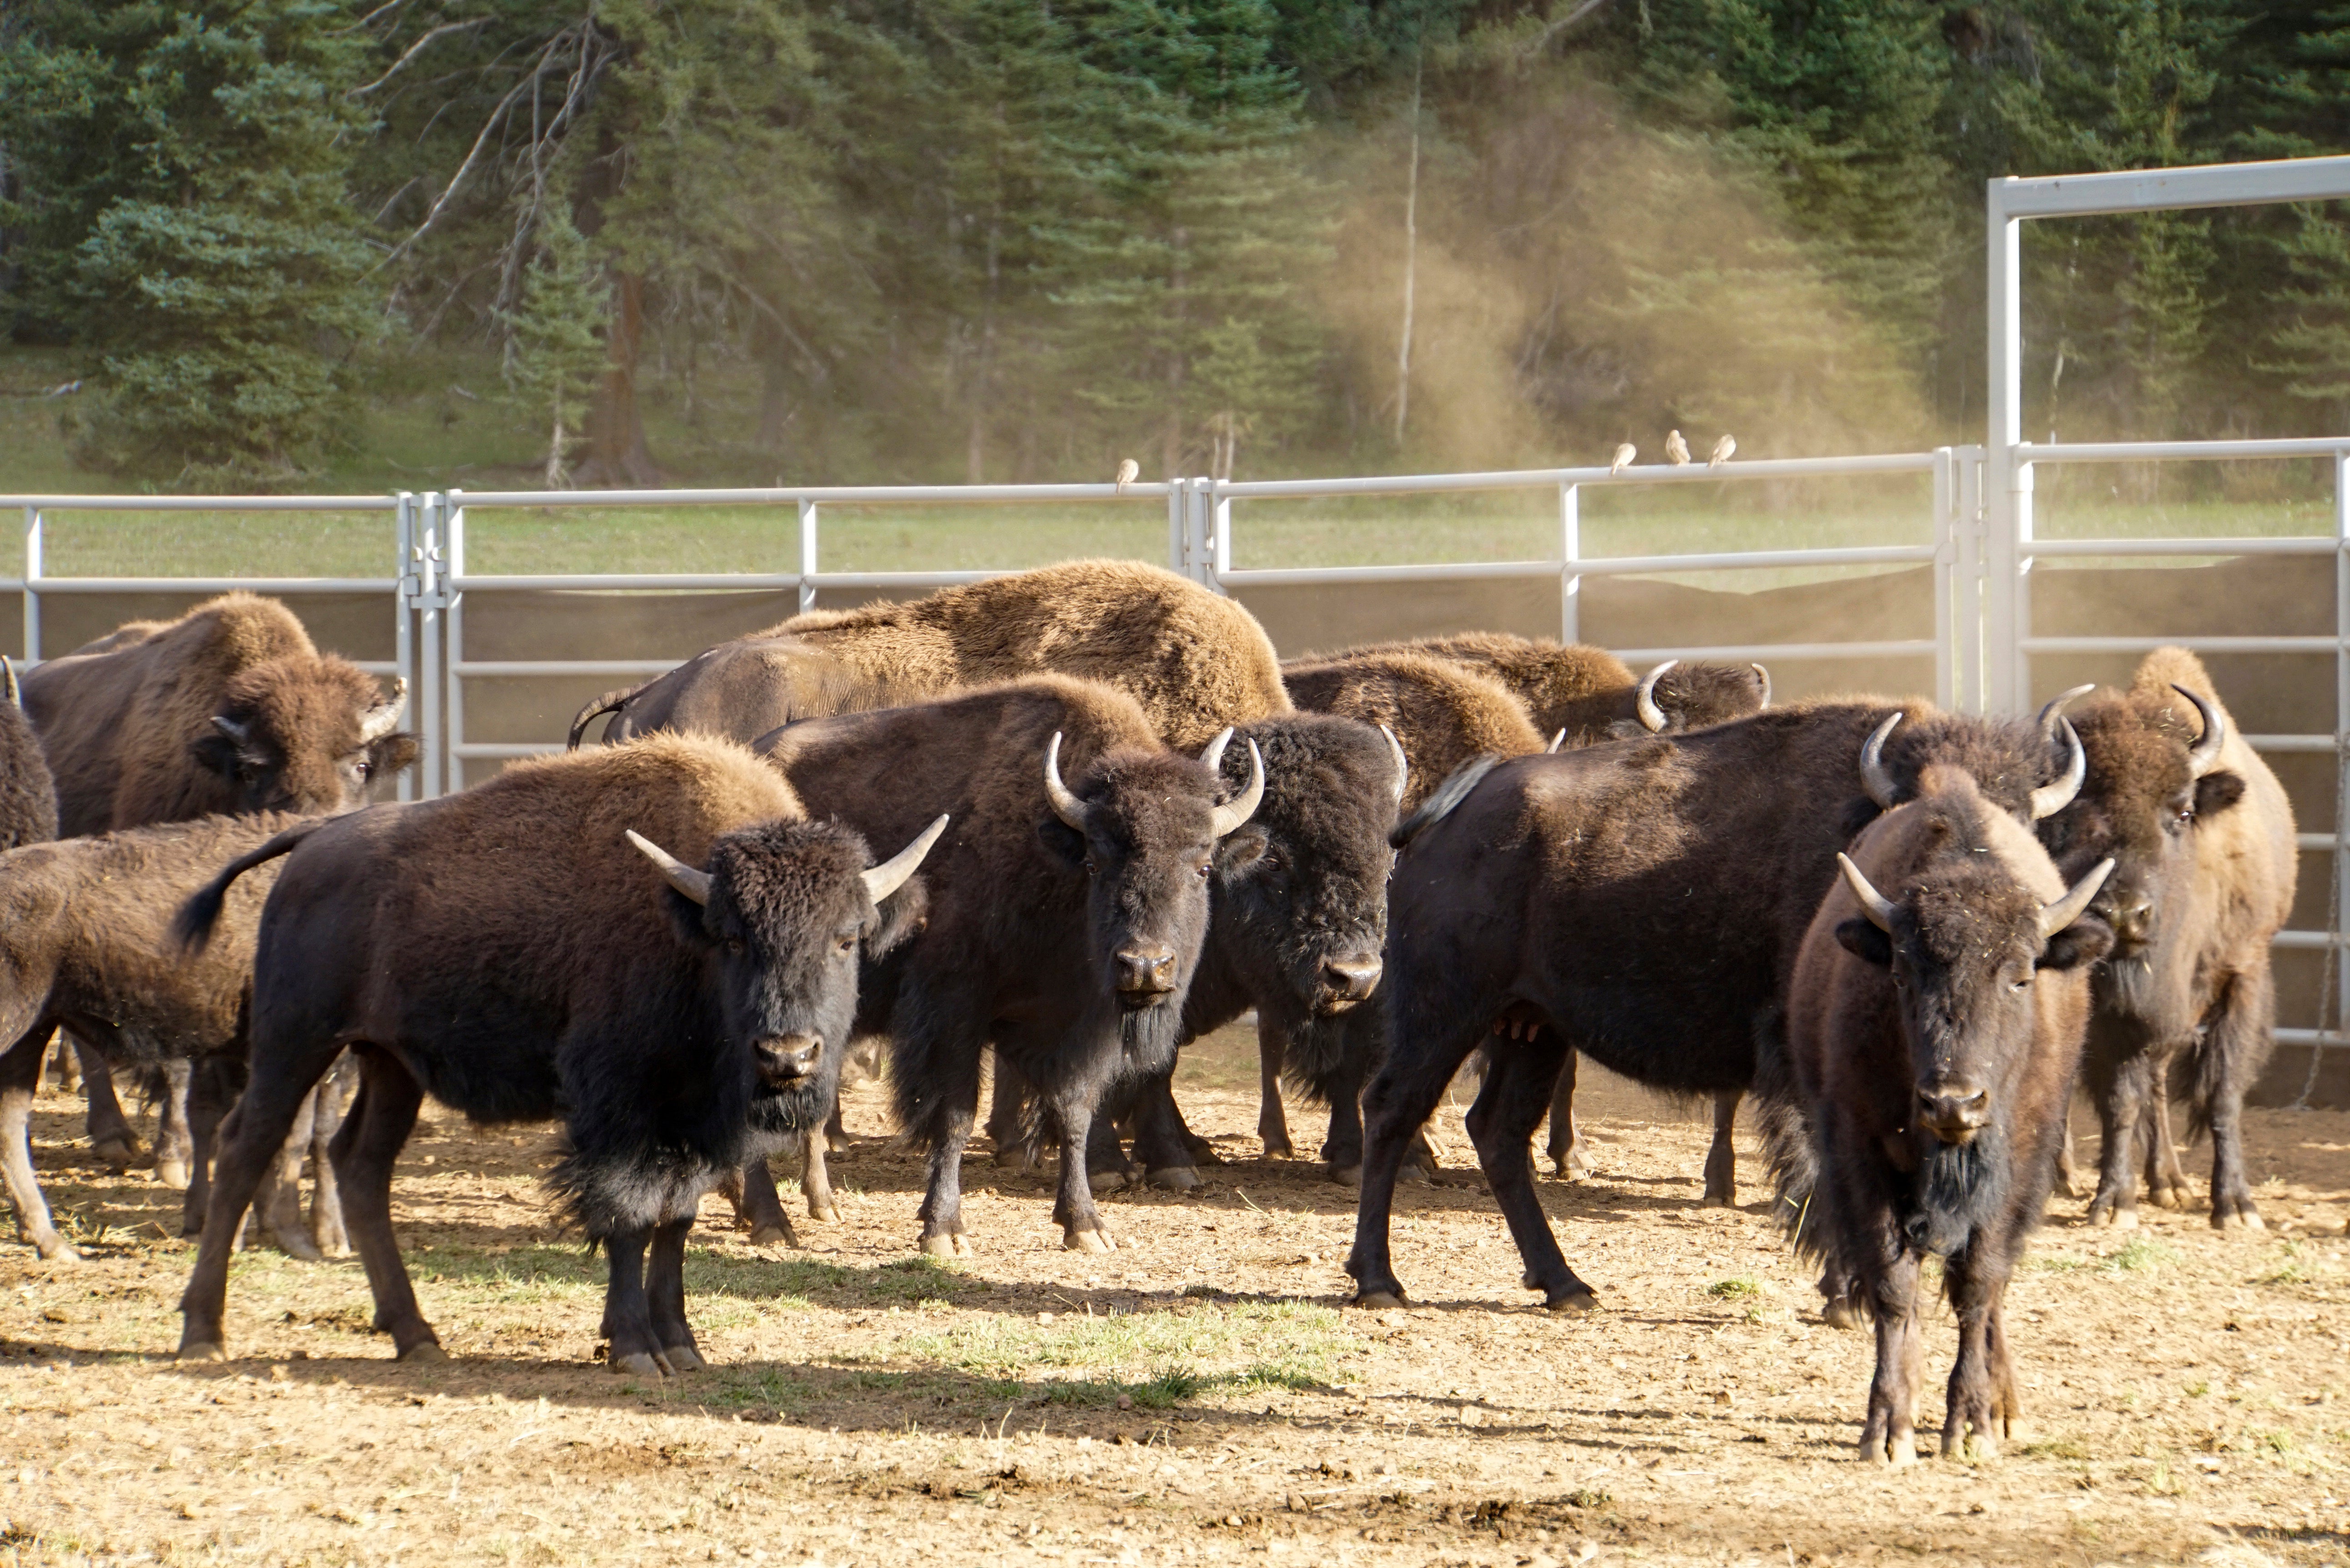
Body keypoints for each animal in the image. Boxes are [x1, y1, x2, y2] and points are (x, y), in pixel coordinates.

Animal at [171, 735, 939, 1373]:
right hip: (295, 1044)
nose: (788, 1055)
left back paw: (417, 1337)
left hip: (390, 1064)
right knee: (246, 1147)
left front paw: (682, 1346)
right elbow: (630, 1216)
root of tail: (313, 845)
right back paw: (204, 1334)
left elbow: (677, 1219)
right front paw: (634, 1348)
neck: (682, 928)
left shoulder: (695, 1124)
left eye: (847, 938)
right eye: (733, 939)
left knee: (362, 1166)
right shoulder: (620, 1110)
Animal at [754, 676, 1261, 1254]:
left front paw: (1085, 1225)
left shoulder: (1076, 1030)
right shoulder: (954, 1012)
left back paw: (821, 1204)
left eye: (1203, 867)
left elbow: (1074, 1112)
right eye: (1095, 862)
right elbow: (955, 1116)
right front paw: (943, 1230)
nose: (1144, 966)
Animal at [1345, 699, 2084, 1312]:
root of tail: (1440, 823)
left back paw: (1566, 1286)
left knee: (1497, 1132)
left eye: (2020, 822)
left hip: (1533, 1030)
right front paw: (1844, 1295)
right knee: (1392, 1109)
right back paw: (1380, 1281)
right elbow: (1821, 1174)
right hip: (1443, 1016)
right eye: (1917, 822)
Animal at [1777, 766, 2111, 1464]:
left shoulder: (2016, 1170)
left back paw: (2004, 1406)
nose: (1953, 1101)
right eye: (1903, 973)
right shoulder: (1862, 1155)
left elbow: (1979, 1285)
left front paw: (1972, 1426)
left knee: (1992, 1290)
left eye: (2019, 976)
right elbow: (1894, 1286)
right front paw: (1888, 1430)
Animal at [2037, 649, 2298, 1230]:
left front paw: (2235, 1206)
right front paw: (2113, 1203)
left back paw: (2169, 1183)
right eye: (2070, 820)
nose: (2122, 914)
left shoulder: (2241, 978)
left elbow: (2222, 1094)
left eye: (2181, 812)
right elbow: (2120, 1101)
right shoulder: (2113, 1008)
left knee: (2158, 1081)